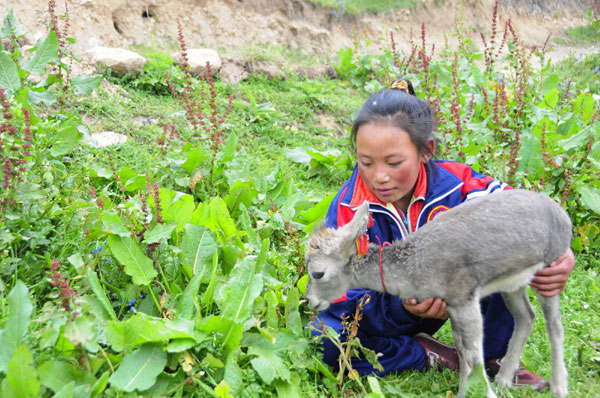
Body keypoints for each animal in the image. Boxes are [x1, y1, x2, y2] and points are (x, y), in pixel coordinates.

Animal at [308, 190, 568, 398]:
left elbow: (474, 354)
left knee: (554, 325)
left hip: (552, 264)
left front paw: (485, 394)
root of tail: (563, 215)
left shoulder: (463, 296)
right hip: (512, 283)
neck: (415, 268)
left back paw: (559, 386)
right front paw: (464, 392)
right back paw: (504, 379)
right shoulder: (450, 304)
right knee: (526, 317)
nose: (309, 300)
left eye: (318, 273)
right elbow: (462, 350)